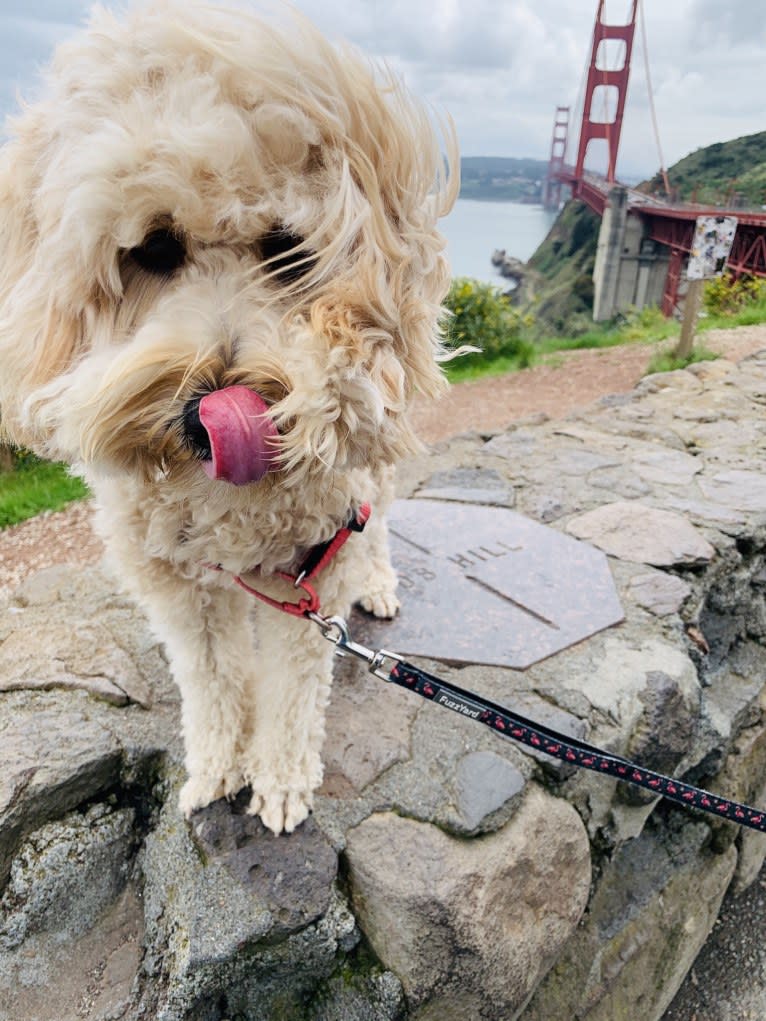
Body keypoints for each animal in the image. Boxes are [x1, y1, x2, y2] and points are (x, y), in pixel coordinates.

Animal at [0, 3, 455, 833]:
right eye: (153, 247)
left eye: (286, 248)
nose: (205, 413)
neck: (227, 504)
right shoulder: (174, 582)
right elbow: (211, 677)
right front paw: (217, 765)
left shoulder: (316, 562)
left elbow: (294, 687)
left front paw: (277, 777)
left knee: (381, 521)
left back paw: (379, 582)